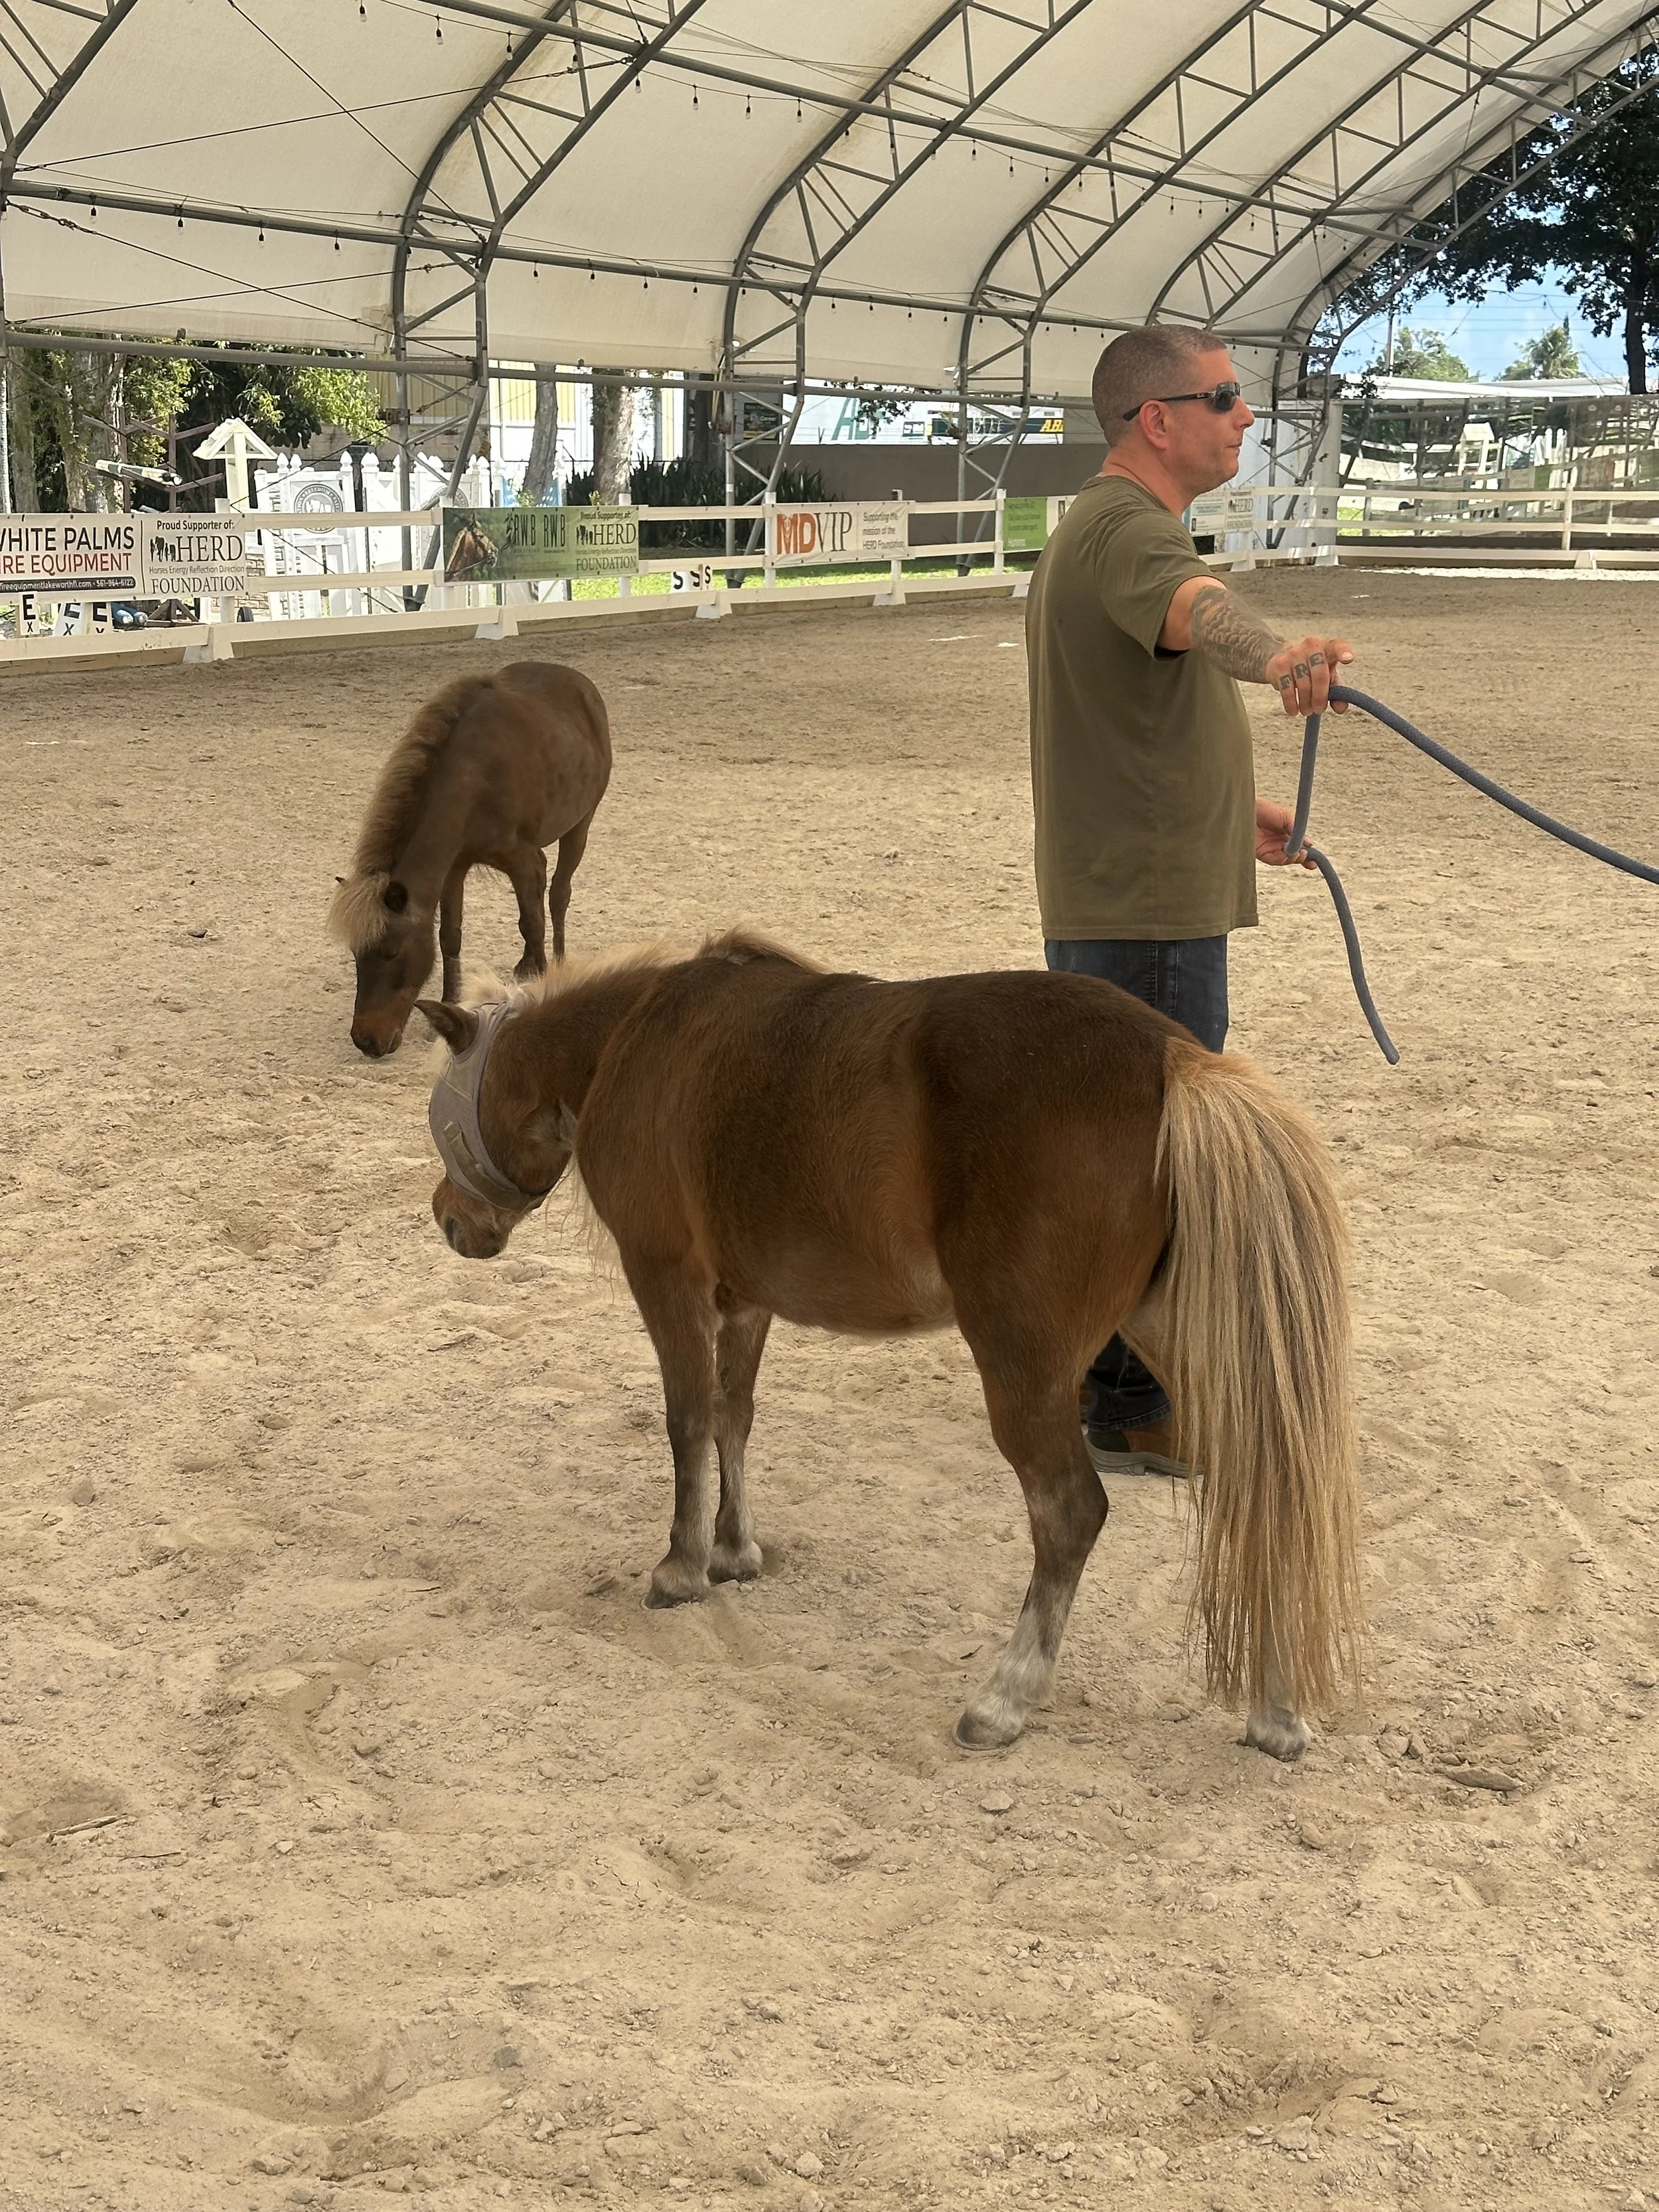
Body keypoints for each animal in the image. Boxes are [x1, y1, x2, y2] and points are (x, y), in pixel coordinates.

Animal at [327, 661, 610, 1057]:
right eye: (356, 955)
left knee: (558, 897)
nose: (366, 1041)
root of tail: (580, 682)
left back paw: (554, 962)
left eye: (391, 953)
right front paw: (451, 1003)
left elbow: (532, 923)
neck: (473, 778)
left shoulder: (525, 861)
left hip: (579, 827)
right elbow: (450, 937)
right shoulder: (454, 869)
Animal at [416, 932, 1360, 1762]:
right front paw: (733, 1550)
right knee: (1262, 1486)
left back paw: (1005, 1698)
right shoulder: (744, 1302)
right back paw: (1275, 1709)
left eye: (444, 1112)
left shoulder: (667, 1278)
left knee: (1069, 1513)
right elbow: (733, 1418)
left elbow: (687, 1422)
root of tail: (1172, 1062)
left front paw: (681, 1568)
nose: (449, 1220)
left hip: (1024, 1365)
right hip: (1185, 1344)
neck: (636, 1036)